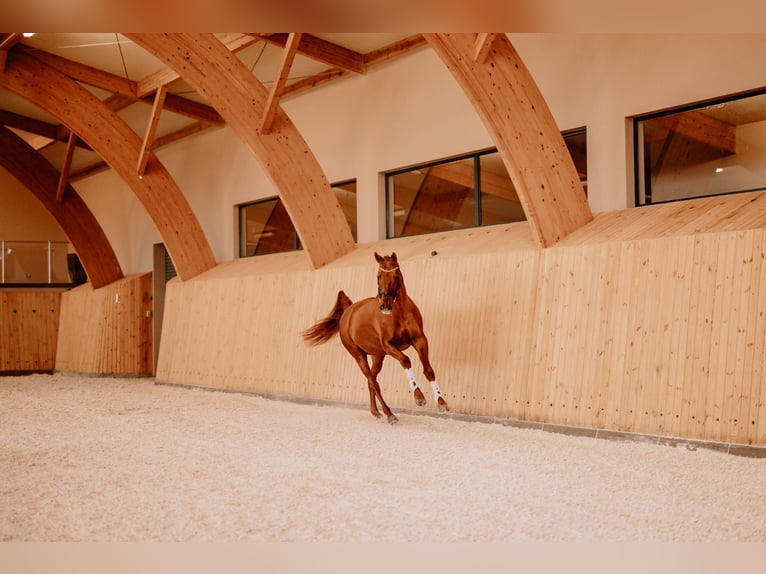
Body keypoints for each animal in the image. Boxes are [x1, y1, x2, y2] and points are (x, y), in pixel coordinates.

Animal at [304, 254, 450, 426]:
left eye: (396, 275)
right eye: (378, 276)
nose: (385, 306)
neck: (400, 311)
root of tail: (348, 311)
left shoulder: (420, 340)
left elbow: (428, 370)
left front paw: (441, 402)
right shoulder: (389, 346)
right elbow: (406, 360)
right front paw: (419, 397)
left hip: (378, 356)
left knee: (371, 381)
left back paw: (375, 412)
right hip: (359, 355)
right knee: (373, 382)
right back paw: (389, 414)